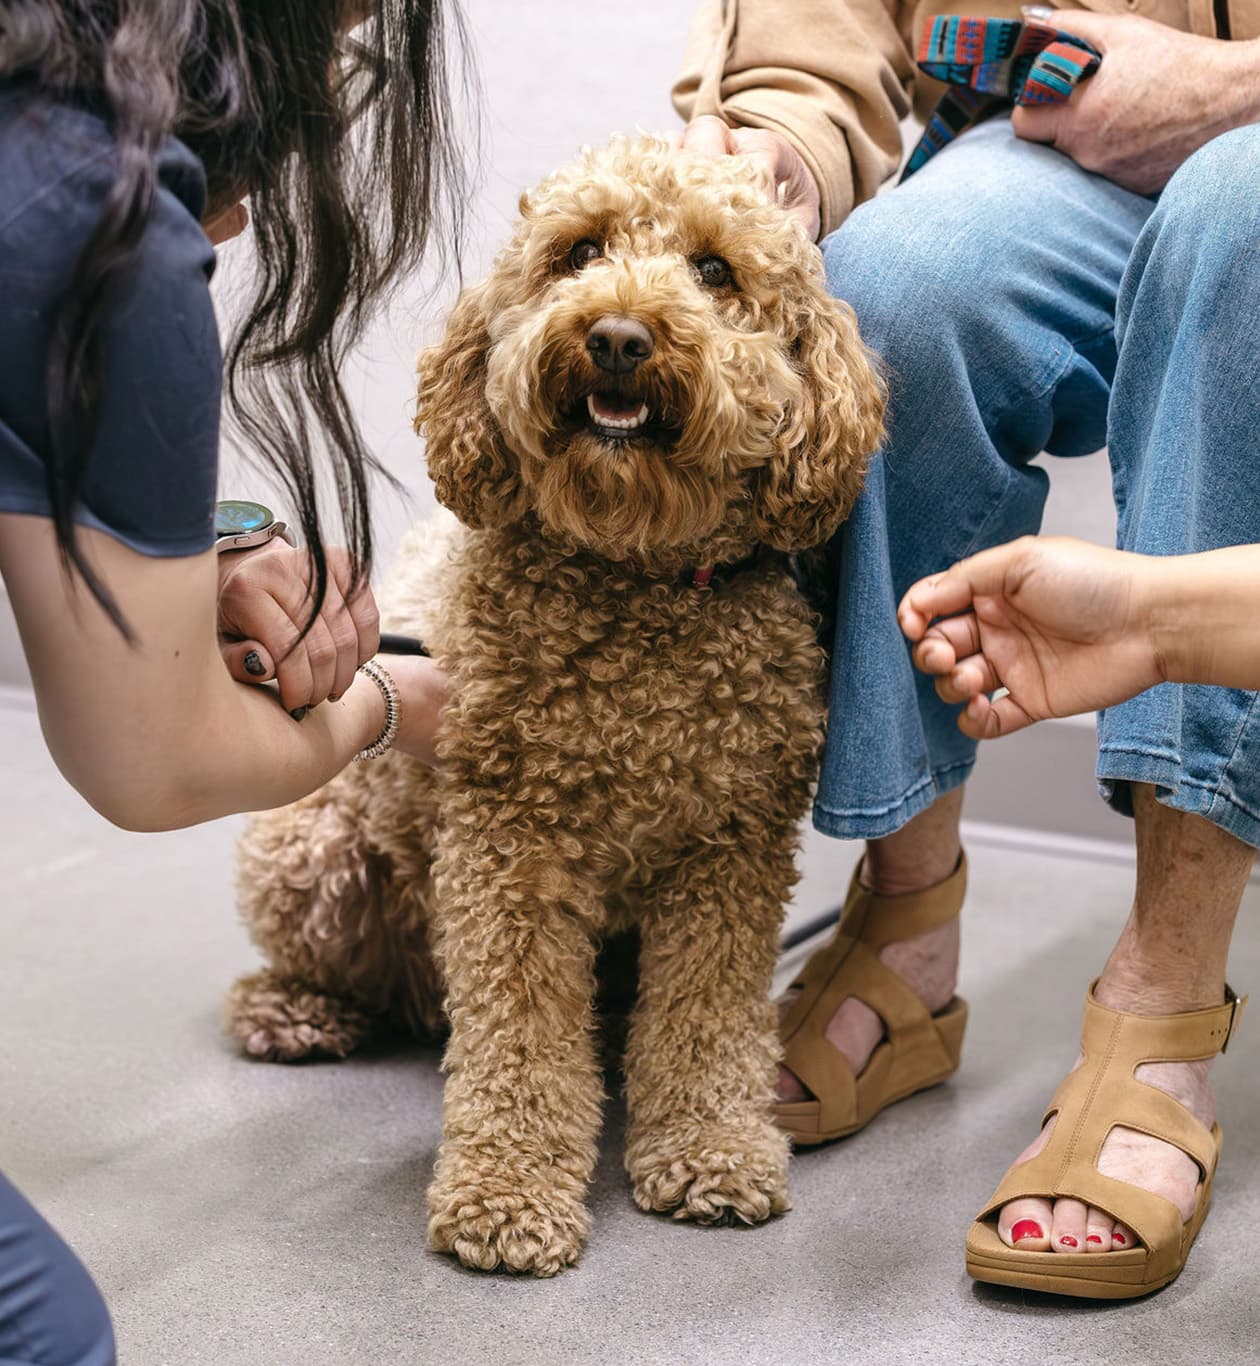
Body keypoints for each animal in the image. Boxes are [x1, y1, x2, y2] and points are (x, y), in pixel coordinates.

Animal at [228, 133, 885, 1273]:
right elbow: (523, 1034)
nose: (618, 336)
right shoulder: (511, 849)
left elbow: (706, 1014)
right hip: (309, 848)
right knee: (327, 964)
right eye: (578, 253)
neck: (636, 581)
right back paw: (293, 1009)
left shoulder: (729, 850)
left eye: (714, 271)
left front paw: (710, 1147)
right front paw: (506, 1191)